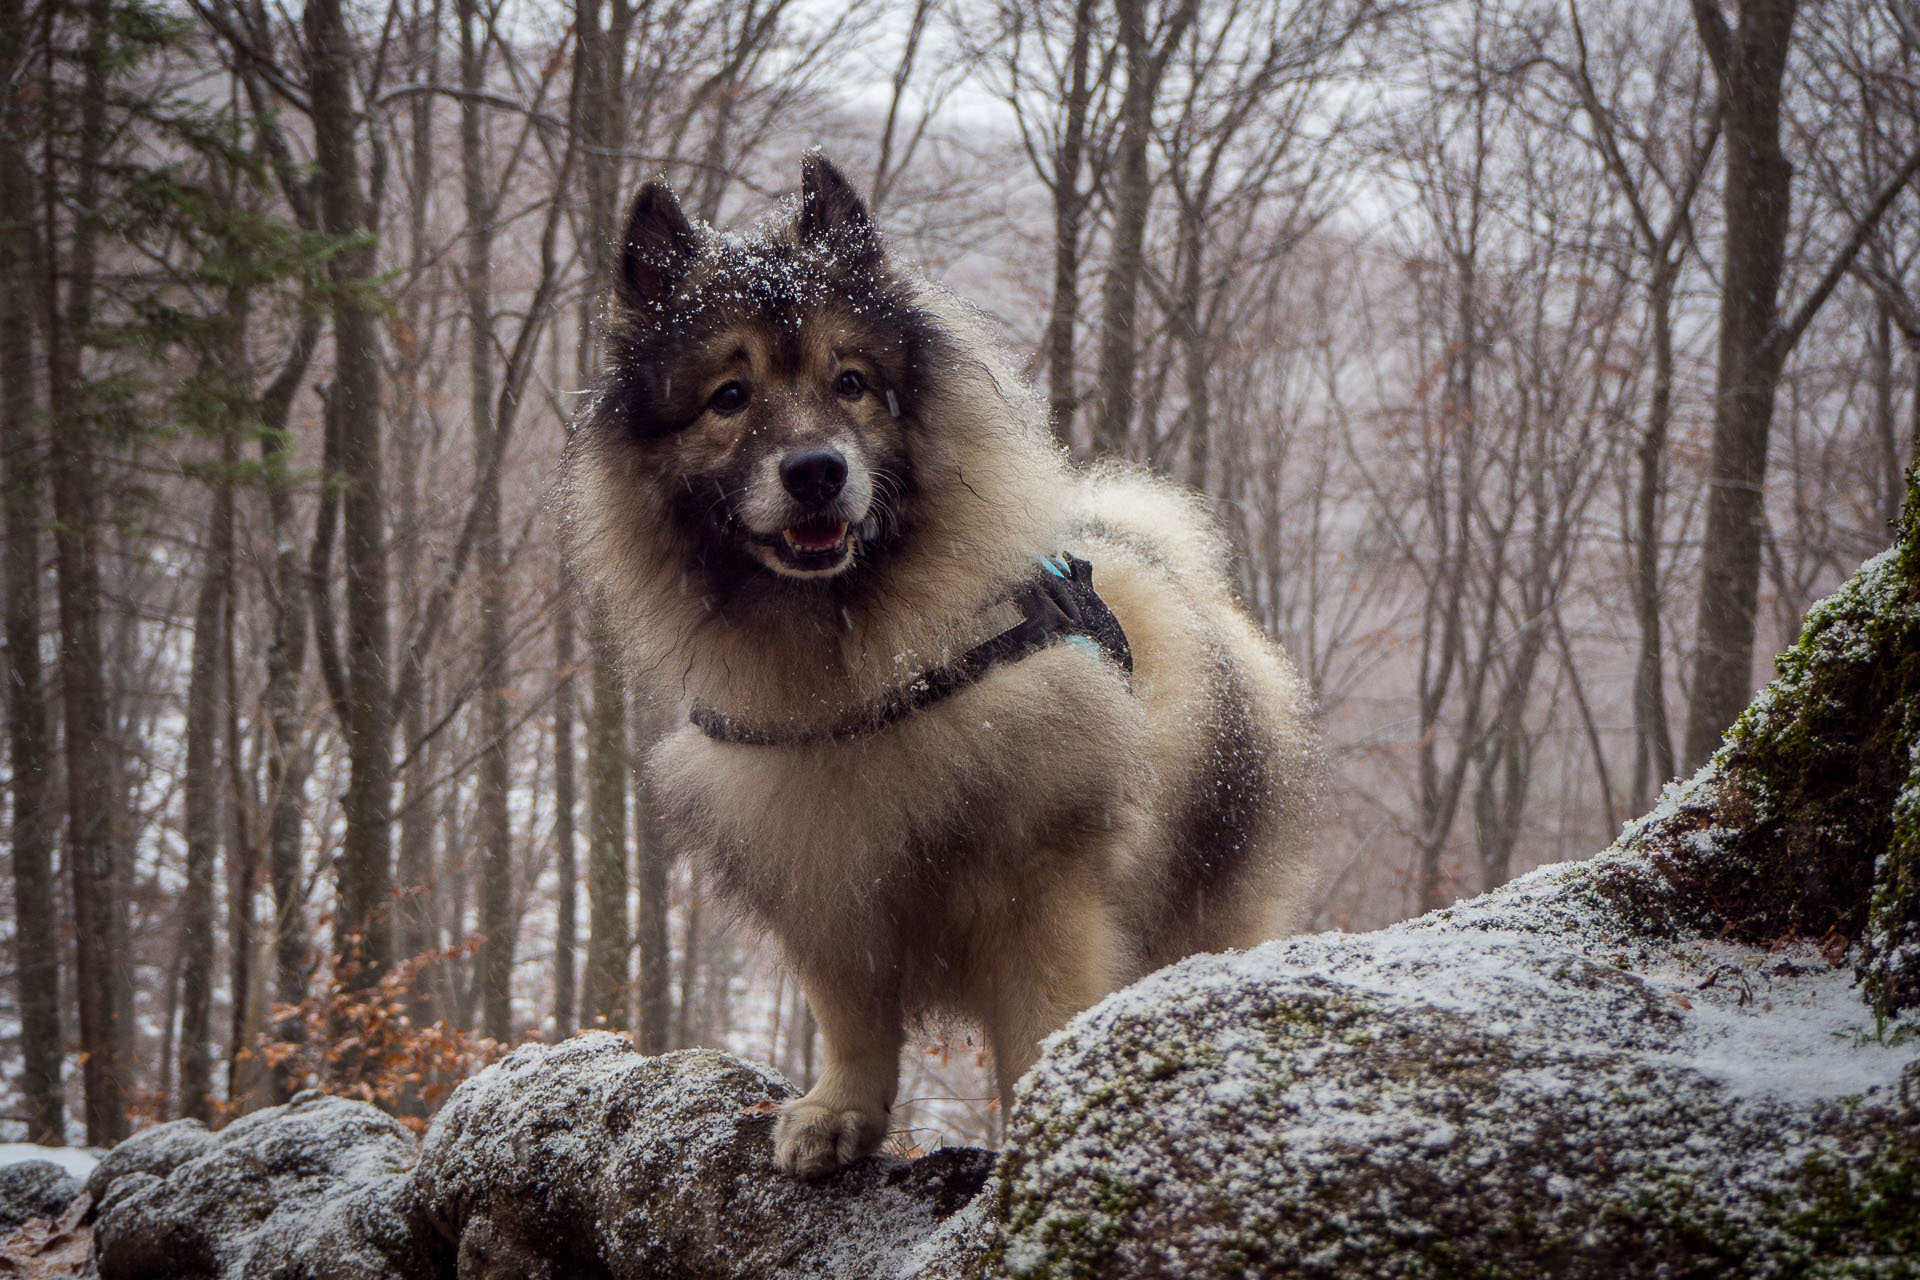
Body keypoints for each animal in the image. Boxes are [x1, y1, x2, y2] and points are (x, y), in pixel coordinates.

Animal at [556, 152, 1320, 1182]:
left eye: (850, 382)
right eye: (730, 397)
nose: (816, 471)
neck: (852, 667)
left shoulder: (1041, 891)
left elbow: (1040, 1027)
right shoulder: (826, 886)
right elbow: (852, 1021)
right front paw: (839, 1112)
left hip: (1201, 898)